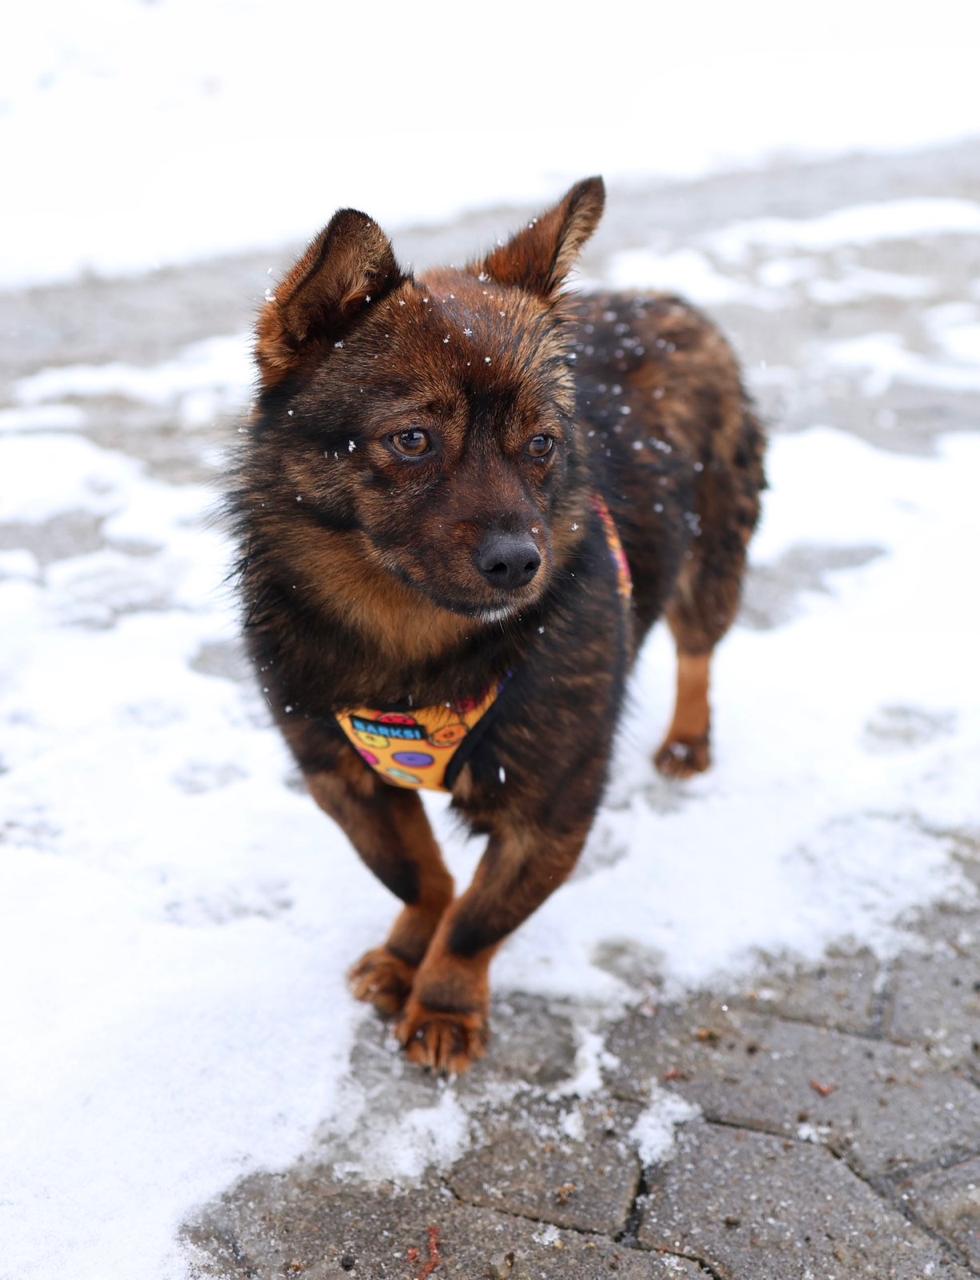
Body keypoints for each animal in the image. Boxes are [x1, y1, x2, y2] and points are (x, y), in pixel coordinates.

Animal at [230, 176, 765, 1073]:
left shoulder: (554, 807)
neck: (415, 645)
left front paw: (444, 1000)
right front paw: (406, 952)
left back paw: (688, 741)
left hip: (715, 557)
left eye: (542, 444)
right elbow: (421, 876)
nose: (521, 562)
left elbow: (479, 918)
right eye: (413, 440)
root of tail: (663, 299)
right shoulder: (341, 778)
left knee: (698, 652)